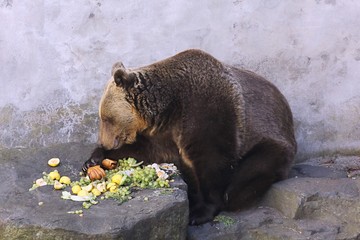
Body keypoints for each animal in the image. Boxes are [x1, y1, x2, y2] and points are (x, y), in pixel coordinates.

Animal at [83, 48, 296, 225]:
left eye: (106, 118)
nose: (105, 142)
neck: (169, 107)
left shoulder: (206, 110)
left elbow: (213, 161)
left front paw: (199, 213)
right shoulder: (165, 133)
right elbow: (147, 150)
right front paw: (93, 159)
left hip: (269, 139)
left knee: (251, 172)